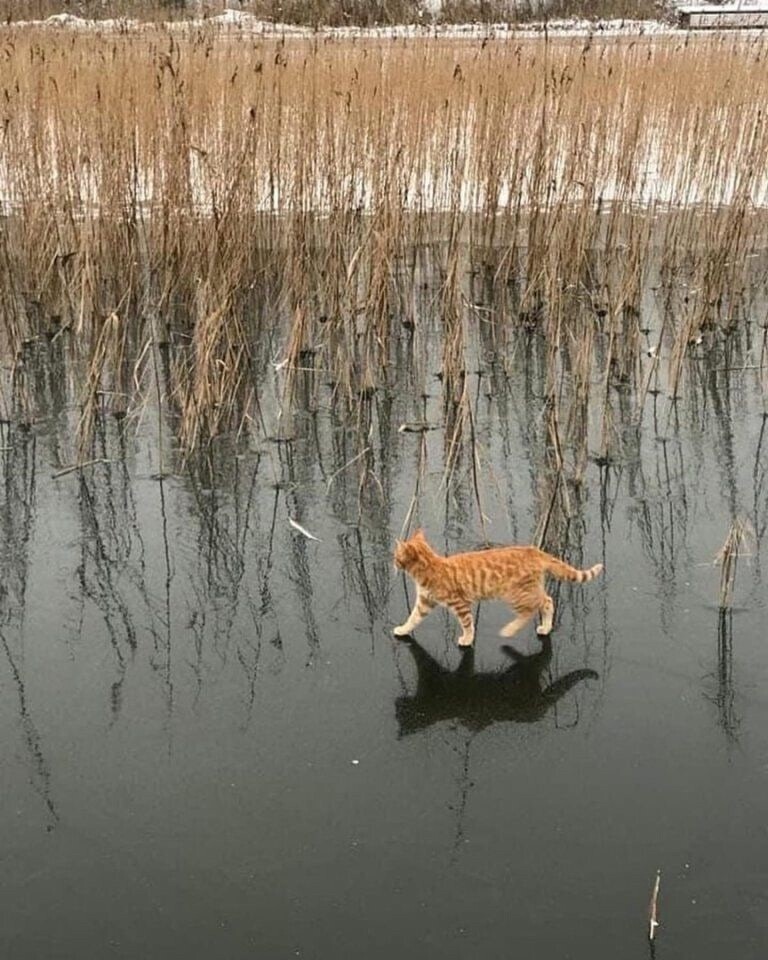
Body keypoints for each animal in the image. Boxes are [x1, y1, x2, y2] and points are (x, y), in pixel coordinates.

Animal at [392, 532, 604, 644]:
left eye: (395, 555)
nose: (392, 562)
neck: (431, 566)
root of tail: (534, 550)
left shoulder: (460, 604)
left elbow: (467, 623)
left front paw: (467, 639)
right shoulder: (424, 603)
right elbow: (413, 619)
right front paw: (403, 630)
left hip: (515, 595)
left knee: (531, 610)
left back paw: (510, 630)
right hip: (530, 590)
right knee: (548, 602)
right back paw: (546, 627)